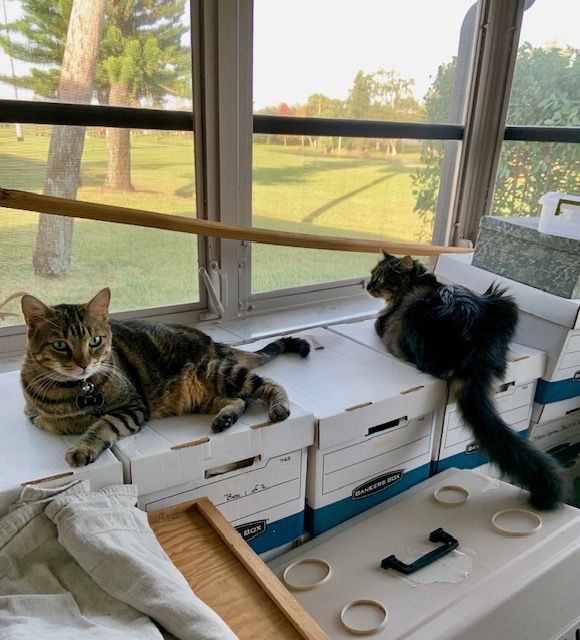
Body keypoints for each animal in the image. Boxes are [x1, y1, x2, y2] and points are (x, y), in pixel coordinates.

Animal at [20, 288, 310, 464]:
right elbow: (58, 422)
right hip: (199, 396)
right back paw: (225, 419)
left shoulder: (133, 408)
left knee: (267, 385)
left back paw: (279, 407)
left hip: (219, 372)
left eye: (95, 341)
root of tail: (214, 342)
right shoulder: (36, 417)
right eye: (60, 345)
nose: (83, 364)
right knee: (240, 400)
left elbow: (102, 426)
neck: (78, 390)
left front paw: (83, 447)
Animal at [370, 251, 564, 510]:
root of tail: (475, 346)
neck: (417, 282)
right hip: (505, 301)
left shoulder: (382, 322)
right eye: (372, 274)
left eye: (379, 279)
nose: (367, 285)